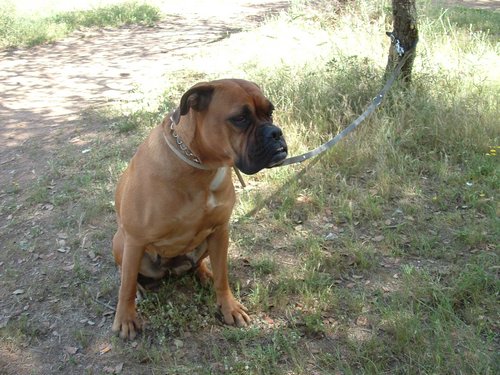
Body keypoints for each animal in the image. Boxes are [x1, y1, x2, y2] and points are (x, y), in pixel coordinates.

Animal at [112, 79, 288, 340]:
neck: (201, 167)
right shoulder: (135, 239)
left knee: (200, 264)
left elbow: (223, 275)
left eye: (271, 112)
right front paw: (125, 318)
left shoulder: (220, 230)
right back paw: (141, 290)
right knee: (127, 273)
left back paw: (204, 273)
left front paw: (228, 307)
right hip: (121, 242)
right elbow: (126, 285)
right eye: (240, 118)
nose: (275, 132)